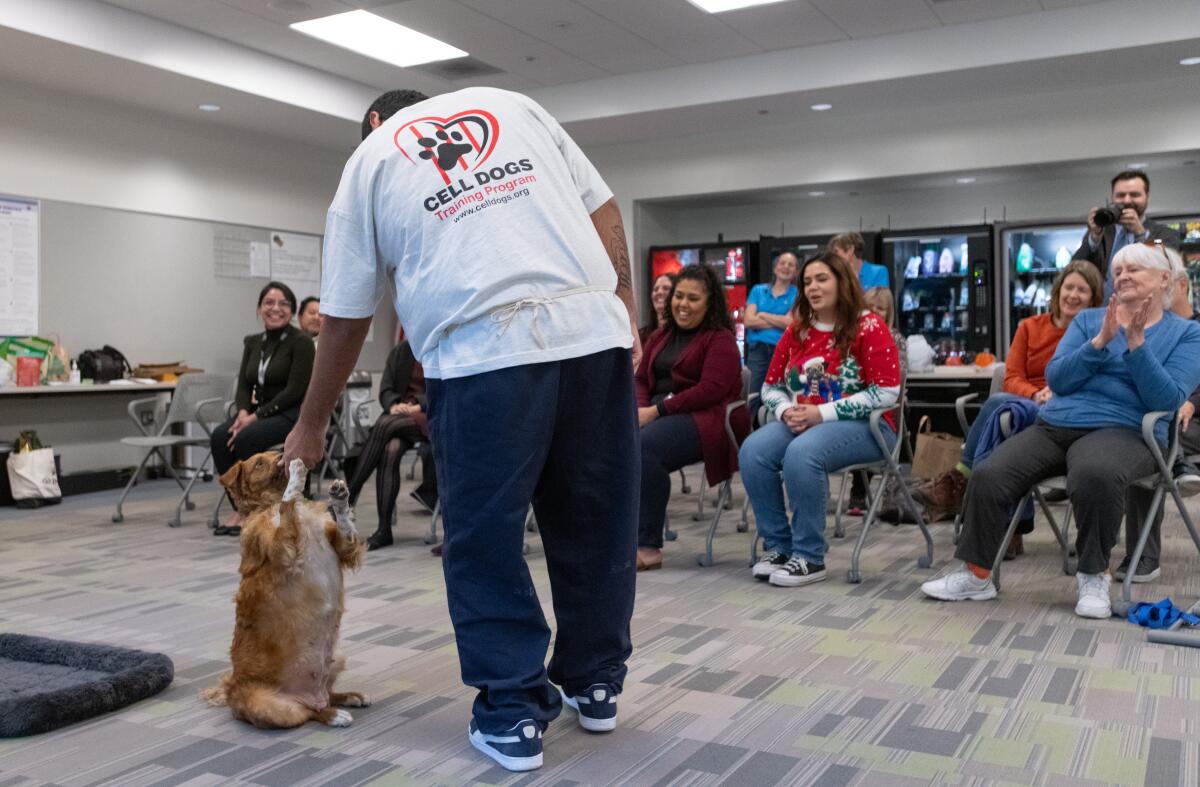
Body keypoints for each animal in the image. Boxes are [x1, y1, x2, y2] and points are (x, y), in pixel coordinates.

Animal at [201, 451, 364, 729]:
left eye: (271, 453)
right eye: (259, 462)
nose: (281, 453)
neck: (269, 503)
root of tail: (231, 691)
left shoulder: (342, 546)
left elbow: (345, 527)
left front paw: (340, 497)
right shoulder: (283, 549)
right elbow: (288, 503)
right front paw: (296, 476)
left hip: (337, 656)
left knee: (327, 696)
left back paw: (348, 697)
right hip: (276, 708)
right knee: (311, 712)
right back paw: (335, 716)